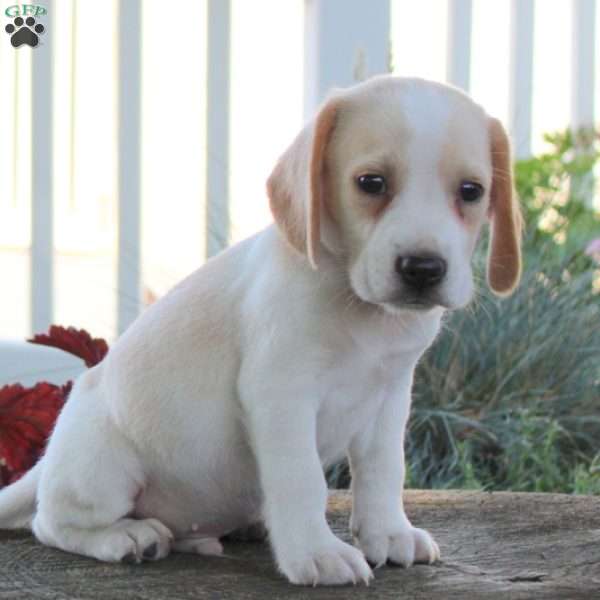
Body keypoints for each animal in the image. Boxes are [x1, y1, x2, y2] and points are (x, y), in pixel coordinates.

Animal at [0, 76, 520, 584]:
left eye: (471, 191)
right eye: (371, 183)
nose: (423, 268)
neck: (360, 310)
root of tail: (47, 462)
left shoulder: (390, 396)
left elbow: (383, 471)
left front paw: (389, 533)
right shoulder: (281, 394)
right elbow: (302, 479)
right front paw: (316, 553)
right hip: (104, 471)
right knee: (51, 523)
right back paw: (127, 537)